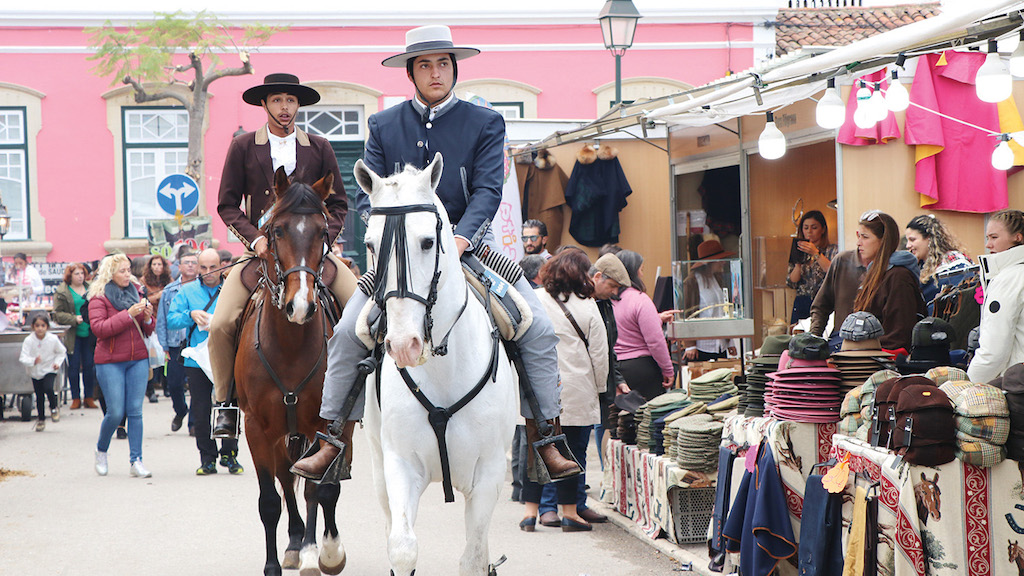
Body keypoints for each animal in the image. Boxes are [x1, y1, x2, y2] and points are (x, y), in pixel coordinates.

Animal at [234, 166, 348, 573]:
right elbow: (270, 499)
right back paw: (295, 540)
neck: (289, 345)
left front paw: (320, 553)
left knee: (327, 482)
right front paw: (275, 563)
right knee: (286, 476)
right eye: (277, 230)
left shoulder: (321, 421)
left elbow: (318, 487)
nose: (300, 306)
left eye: (322, 231)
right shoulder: (257, 428)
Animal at [354, 152, 516, 573]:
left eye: (428, 242)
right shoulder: (399, 466)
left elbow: (473, 557)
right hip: (377, 463)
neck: (442, 367)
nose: (403, 345)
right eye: (370, 243)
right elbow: (402, 546)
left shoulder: (489, 475)